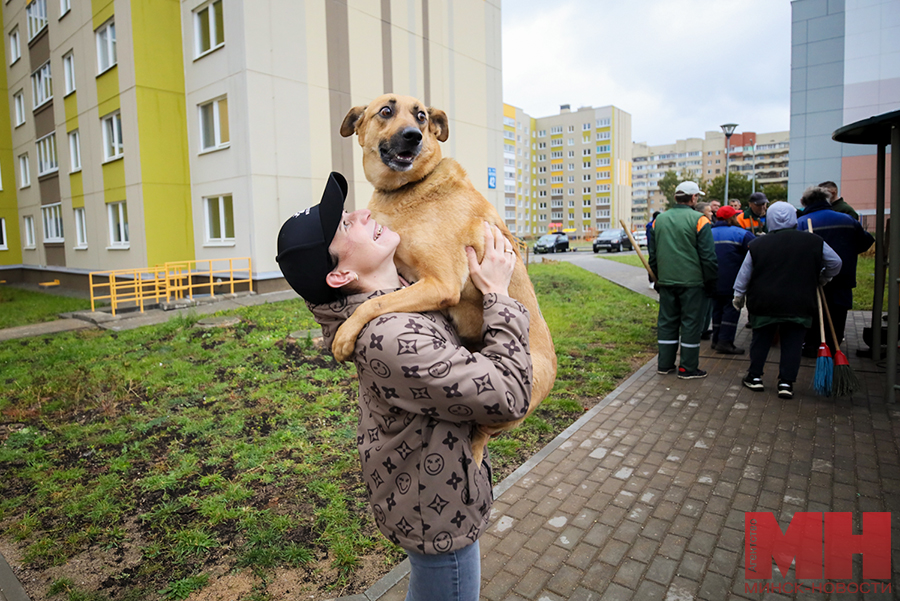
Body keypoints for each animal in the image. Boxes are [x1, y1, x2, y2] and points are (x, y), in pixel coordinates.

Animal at [334, 92, 552, 464]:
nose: (413, 136)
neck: (407, 189)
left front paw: (344, 335)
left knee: (482, 432)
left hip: (511, 405)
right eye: (386, 111)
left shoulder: (441, 283)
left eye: (421, 116)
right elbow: (379, 297)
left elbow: (373, 303)